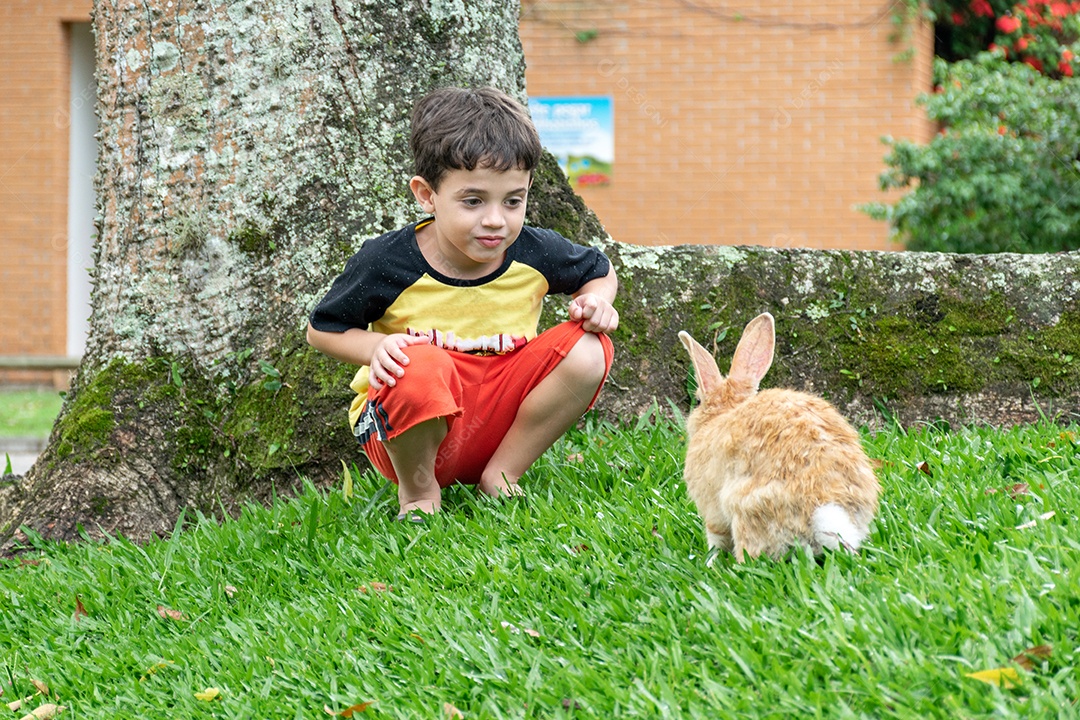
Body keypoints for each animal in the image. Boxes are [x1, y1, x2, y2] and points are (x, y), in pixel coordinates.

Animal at [678, 312, 880, 565]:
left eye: (697, 401)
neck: (726, 410)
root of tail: (824, 509)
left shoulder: (711, 509)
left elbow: (715, 538)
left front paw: (710, 563)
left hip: (745, 509)